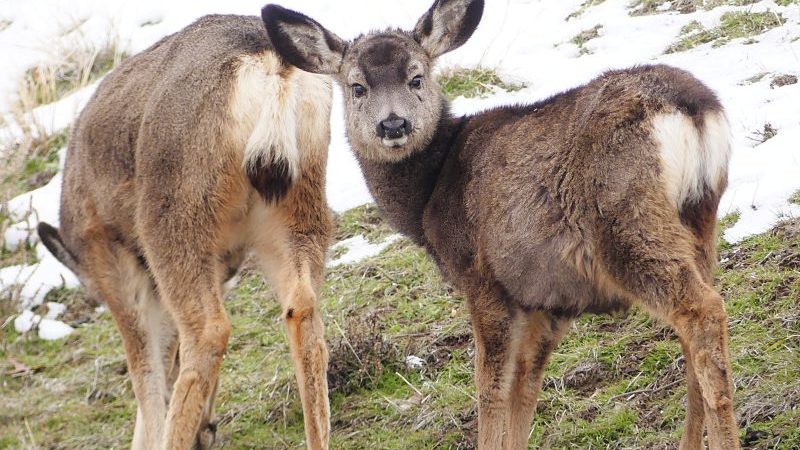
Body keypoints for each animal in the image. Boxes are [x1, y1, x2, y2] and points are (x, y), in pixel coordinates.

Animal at [36, 13, 333, 450]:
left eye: (93, 292)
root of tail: (272, 62)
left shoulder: (114, 267)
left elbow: (148, 373)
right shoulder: (223, 266)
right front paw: (205, 426)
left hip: (173, 218)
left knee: (208, 332)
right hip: (299, 205)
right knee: (303, 310)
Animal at [263, 0, 740, 448]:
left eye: (416, 77)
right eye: (357, 86)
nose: (393, 123)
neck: (430, 195)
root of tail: (693, 110)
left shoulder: (483, 277)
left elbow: (490, 388)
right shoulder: (547, 296)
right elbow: (525, 385)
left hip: (624, 222)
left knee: (701, 311)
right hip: (699, 220)